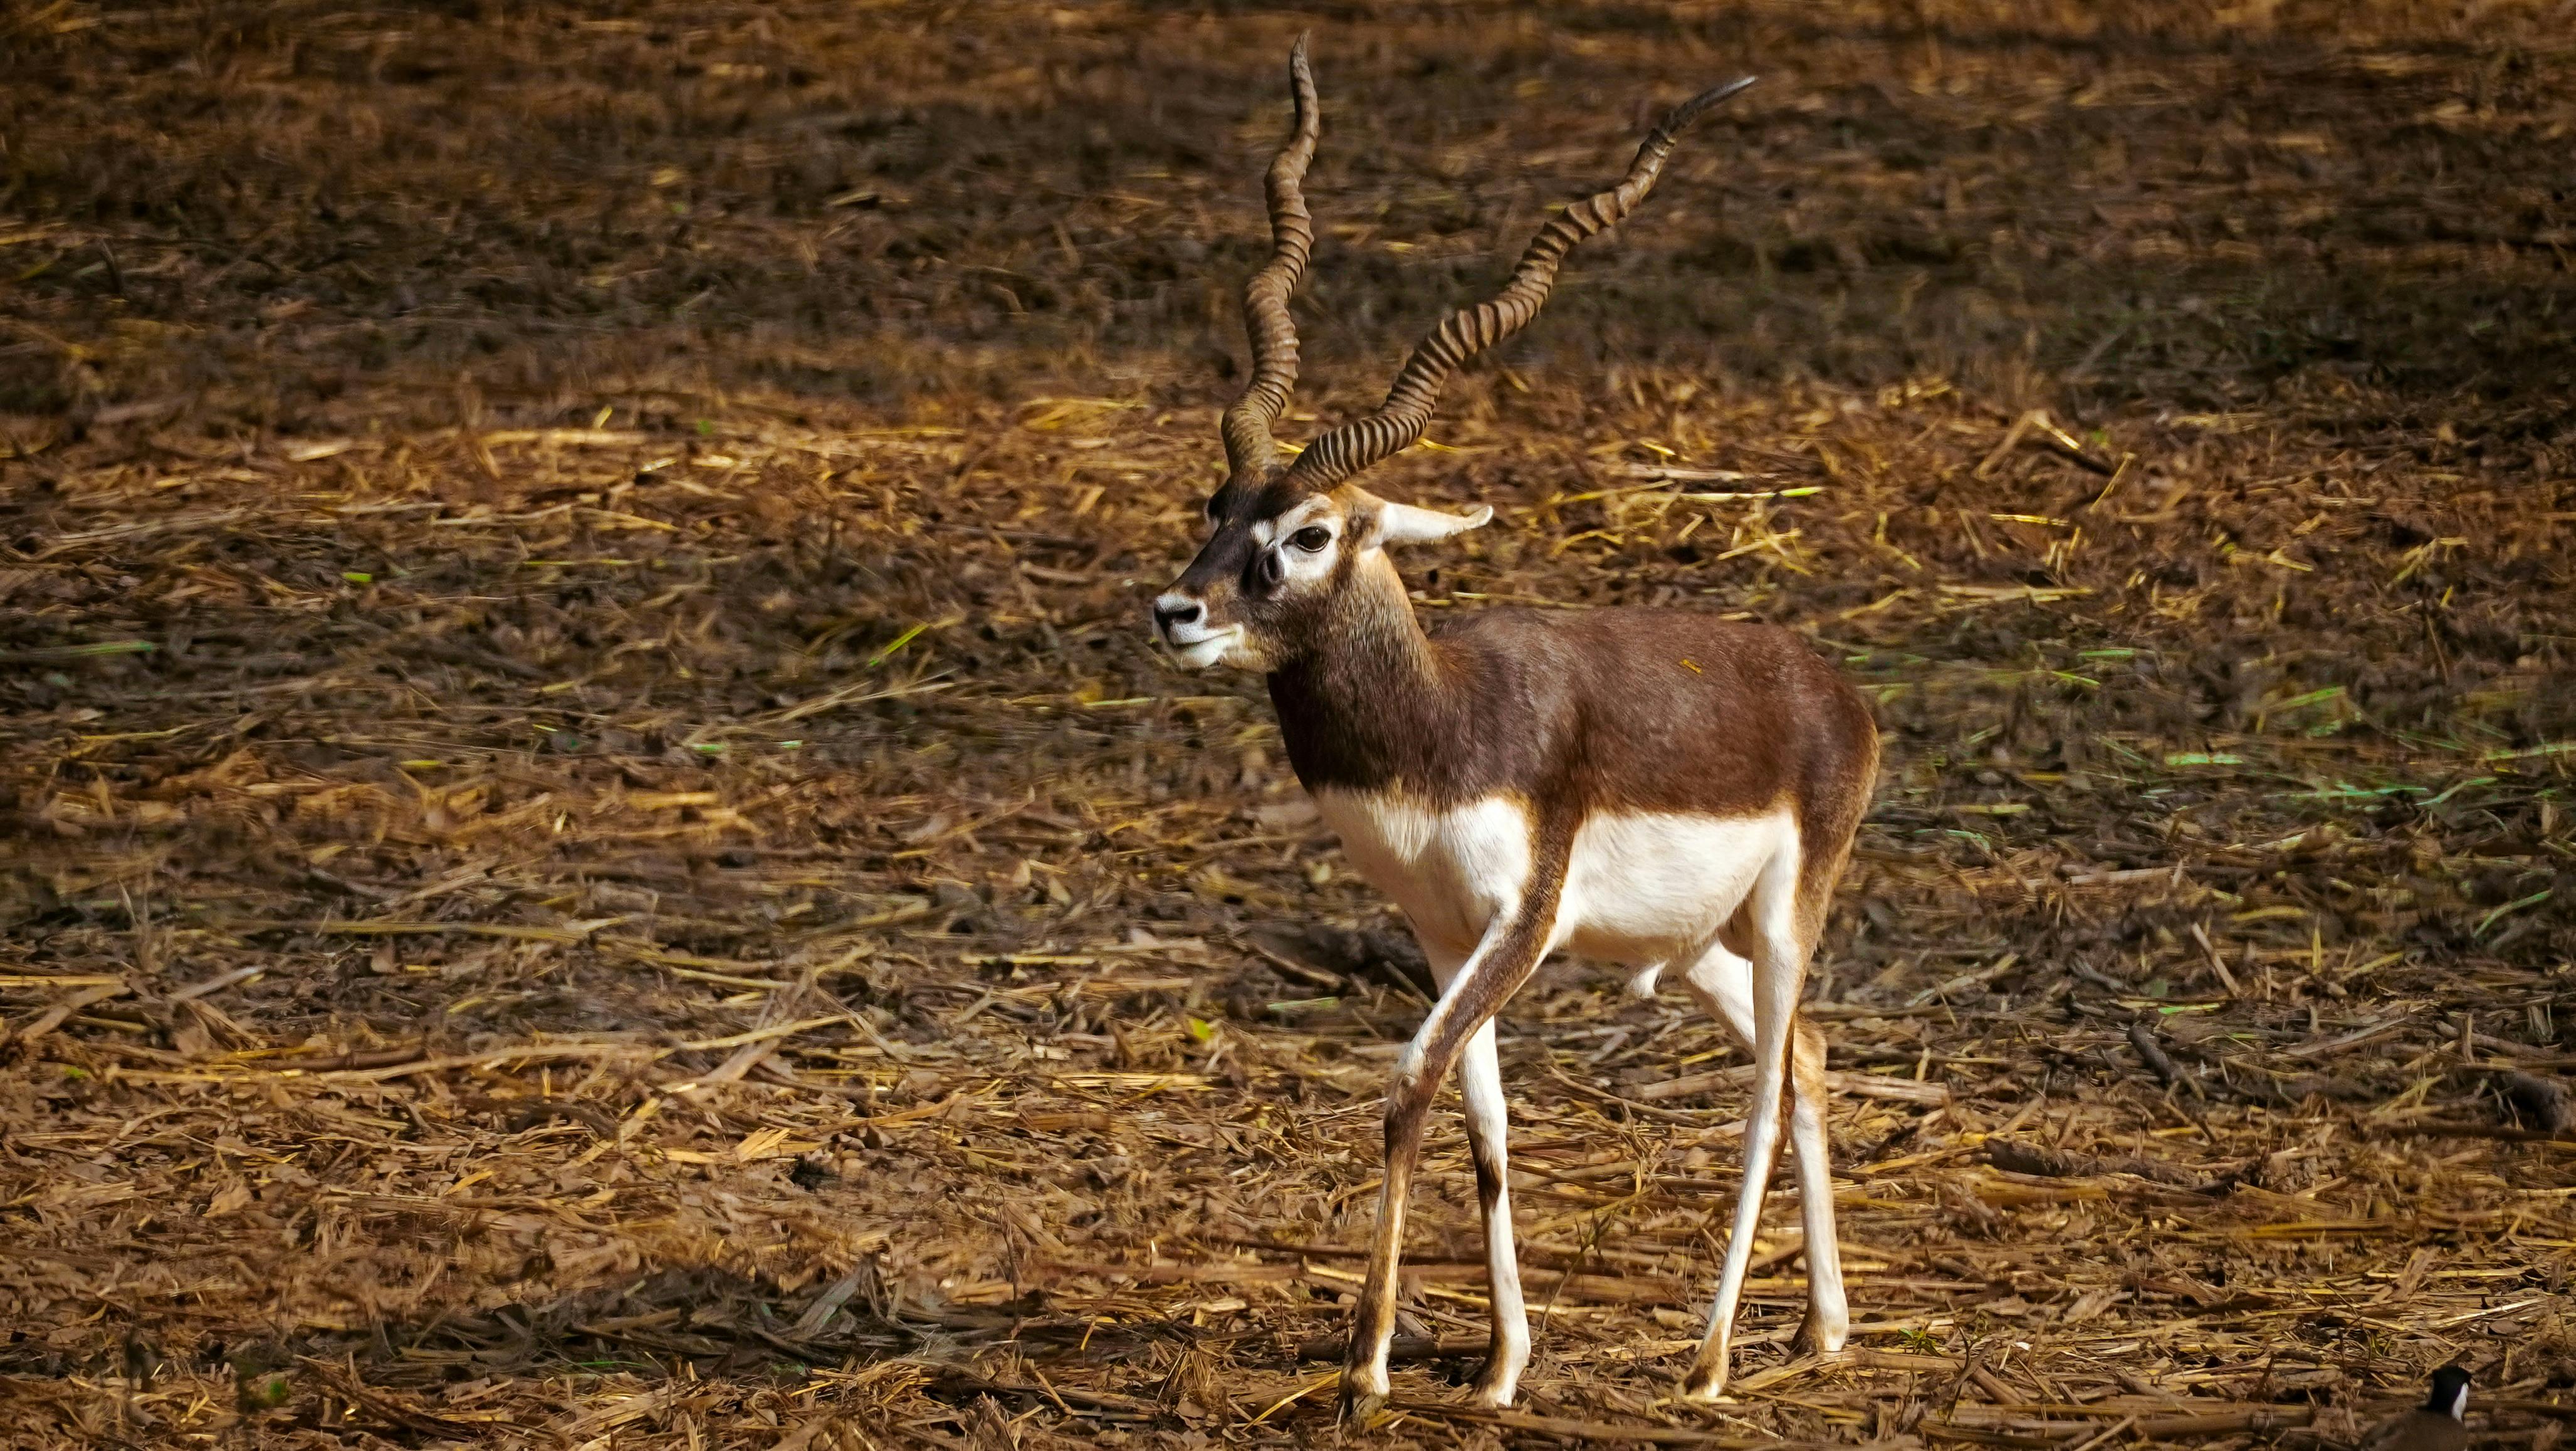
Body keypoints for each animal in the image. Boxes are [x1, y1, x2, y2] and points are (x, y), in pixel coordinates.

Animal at [1151, 42, 1879, 1410]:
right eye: (1217, 505)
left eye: (1310, 532)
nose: (1179, 610)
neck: (1439, 720)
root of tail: (1831, 686)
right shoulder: (1440, 931)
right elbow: (1482, 1120)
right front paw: (1498, 1365)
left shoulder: (1522, 919)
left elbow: (1406, 1085)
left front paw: (1368, 1364)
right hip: (1692, 944)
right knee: (1805, 1054)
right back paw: (1825, 1330)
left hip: (1784, 911)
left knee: (1765, 1088)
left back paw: (1711, 1356)